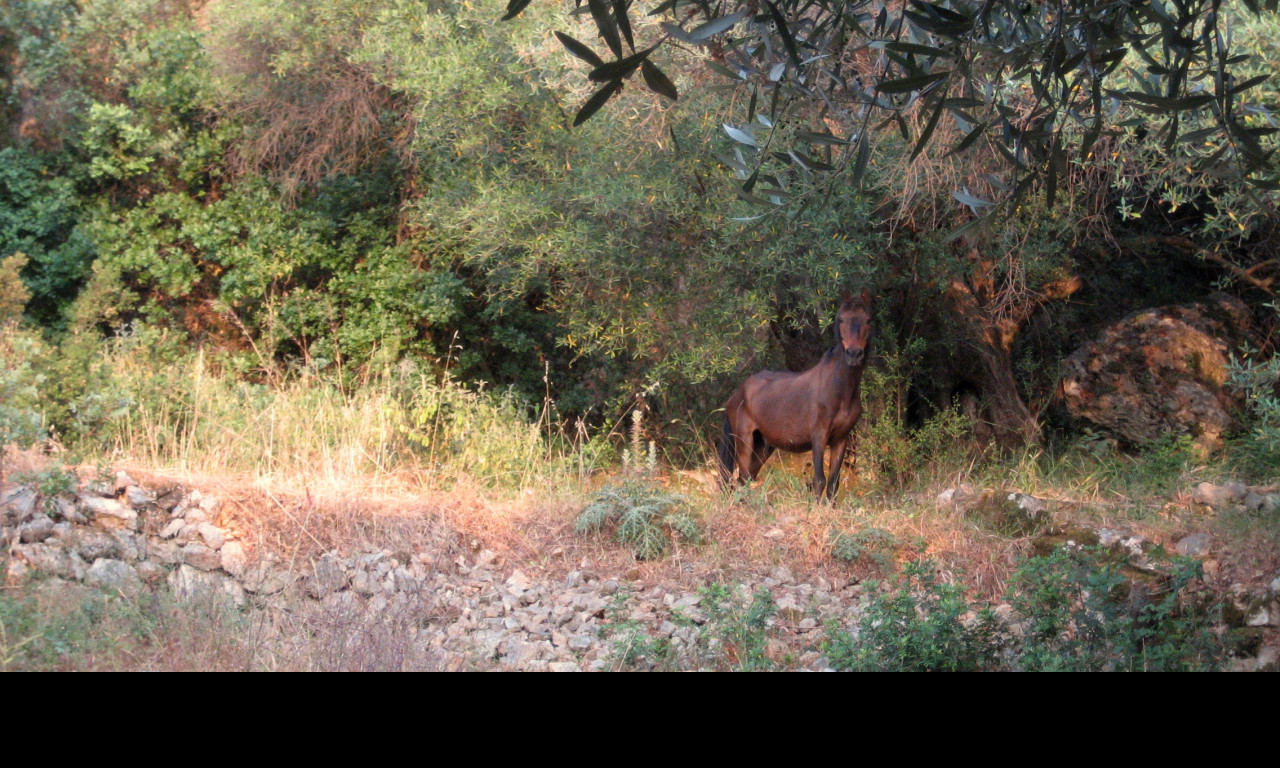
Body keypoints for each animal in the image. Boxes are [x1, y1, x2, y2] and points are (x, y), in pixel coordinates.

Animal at [716, 288, 875, 499]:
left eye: (868, 319)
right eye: (841, 319)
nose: (854, 354)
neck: (839, 390)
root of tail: (737, 394)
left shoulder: (840, 440)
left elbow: (833, 484)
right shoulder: (819, 437)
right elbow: (819, 481)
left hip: (763, 446)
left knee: (746, 479)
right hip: (744, 440)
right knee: (741, 481)